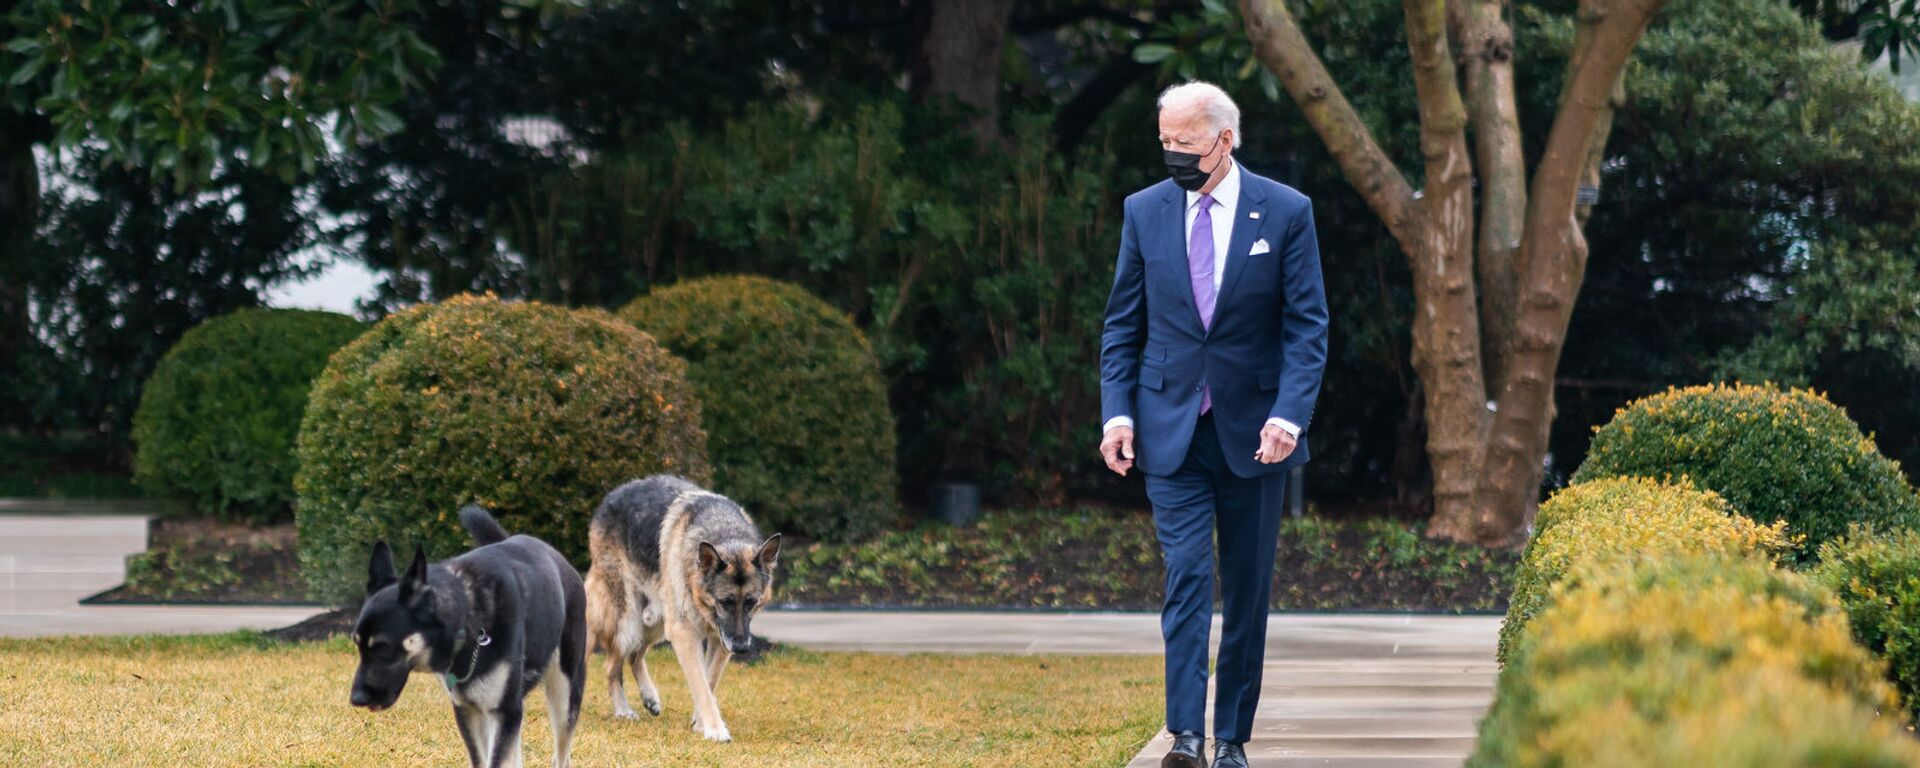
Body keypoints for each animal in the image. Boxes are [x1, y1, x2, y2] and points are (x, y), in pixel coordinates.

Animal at [345, 503, 583, 768]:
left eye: (383, 646)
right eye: (357, 644)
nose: (356, 699)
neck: (468, 618)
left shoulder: (503, 710)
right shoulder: (470, 711)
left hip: (564, 695)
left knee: (562, 755)